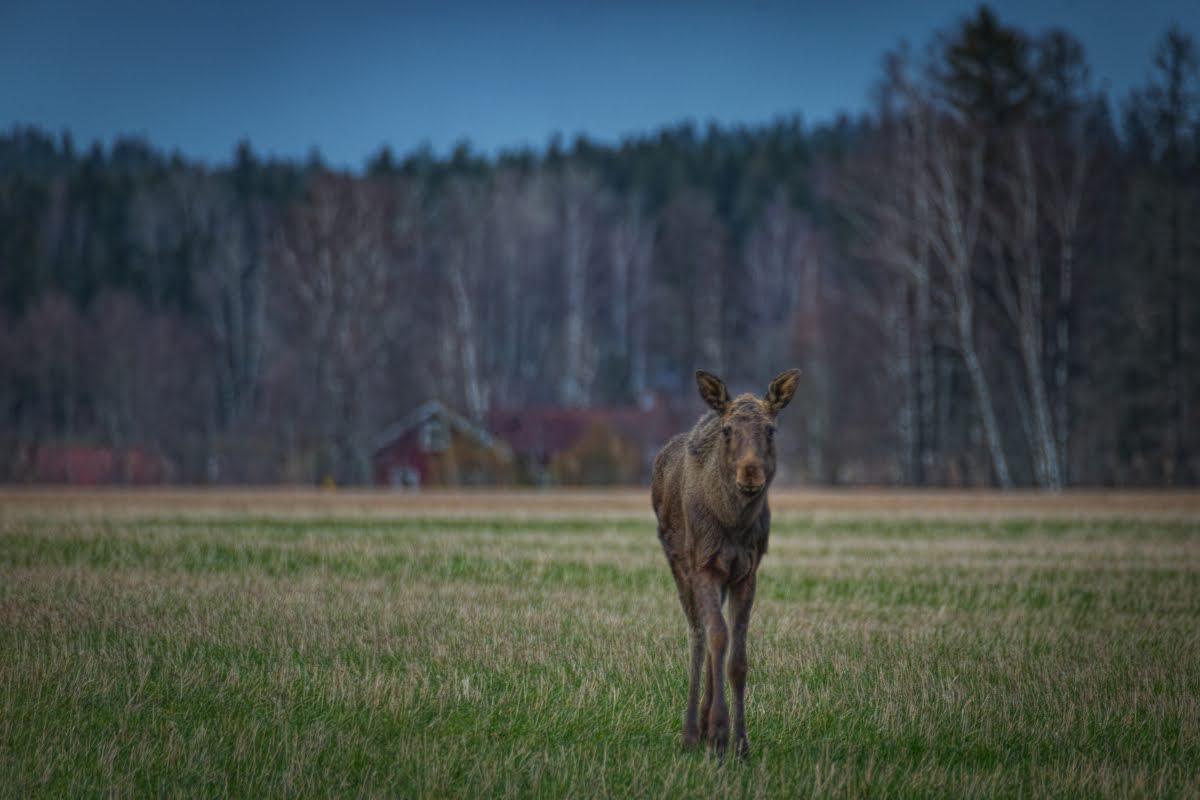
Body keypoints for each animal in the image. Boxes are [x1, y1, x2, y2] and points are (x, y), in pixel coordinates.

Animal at [651, 368, 800, 760]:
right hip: (679, 564)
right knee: (697, 633)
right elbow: (717, 637)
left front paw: (739, 742)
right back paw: (691, 731)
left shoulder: (747, 572)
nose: (750, 475)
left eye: (771, 430)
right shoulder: (703, 566)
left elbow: (737, 658)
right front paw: (718, 736)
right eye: (728, 430)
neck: (733, 525)